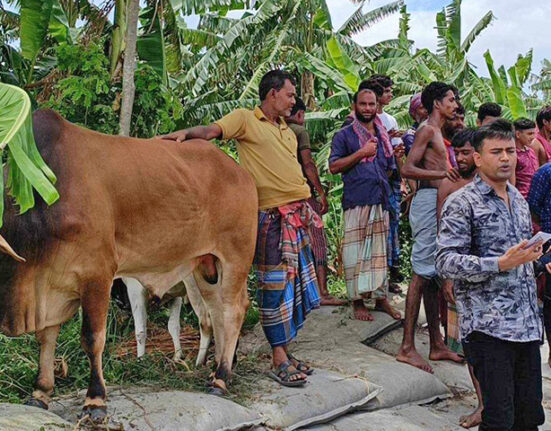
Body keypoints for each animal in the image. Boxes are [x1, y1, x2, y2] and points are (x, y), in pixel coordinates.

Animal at [0, 109, 258, 424]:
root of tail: (239, 171)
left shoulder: (97, 275)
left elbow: (92, 338)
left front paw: (95, 401)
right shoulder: (51, 282)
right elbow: (46, 337)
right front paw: (40, 393)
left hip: (236, 256)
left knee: (234, 310)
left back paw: (221, 378)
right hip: (203, 268)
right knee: (216, 312)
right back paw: (219, 370)